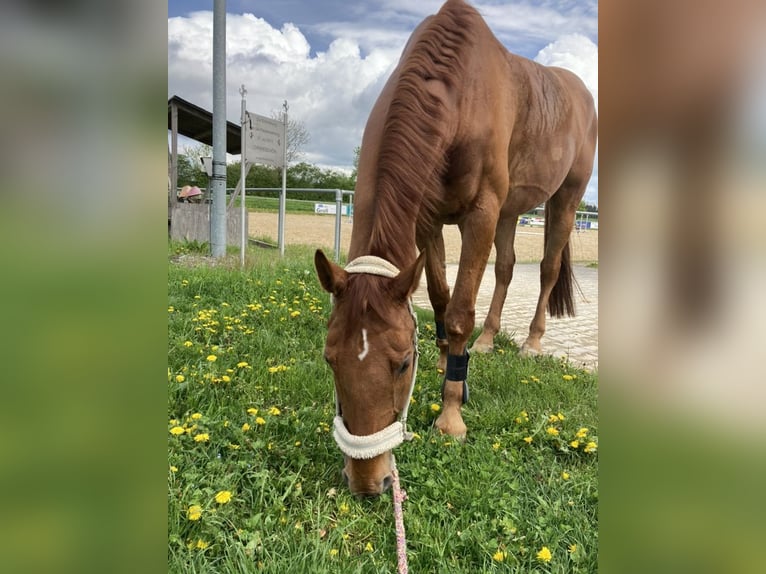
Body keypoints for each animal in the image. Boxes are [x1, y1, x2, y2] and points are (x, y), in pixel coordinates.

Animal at [316, 0, 596, 498]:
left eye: (403, 363)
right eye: (330, 360)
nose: (367, 482)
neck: (460, 94)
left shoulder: (480, 214)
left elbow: (461, 310)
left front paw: (450, 415)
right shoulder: (428, 219)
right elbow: (441, 298)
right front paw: (451, 363)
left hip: (564, 199)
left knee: (545, 269)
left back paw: (531, 342)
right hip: (510, 212)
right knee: (506, 268)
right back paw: (486, 341)